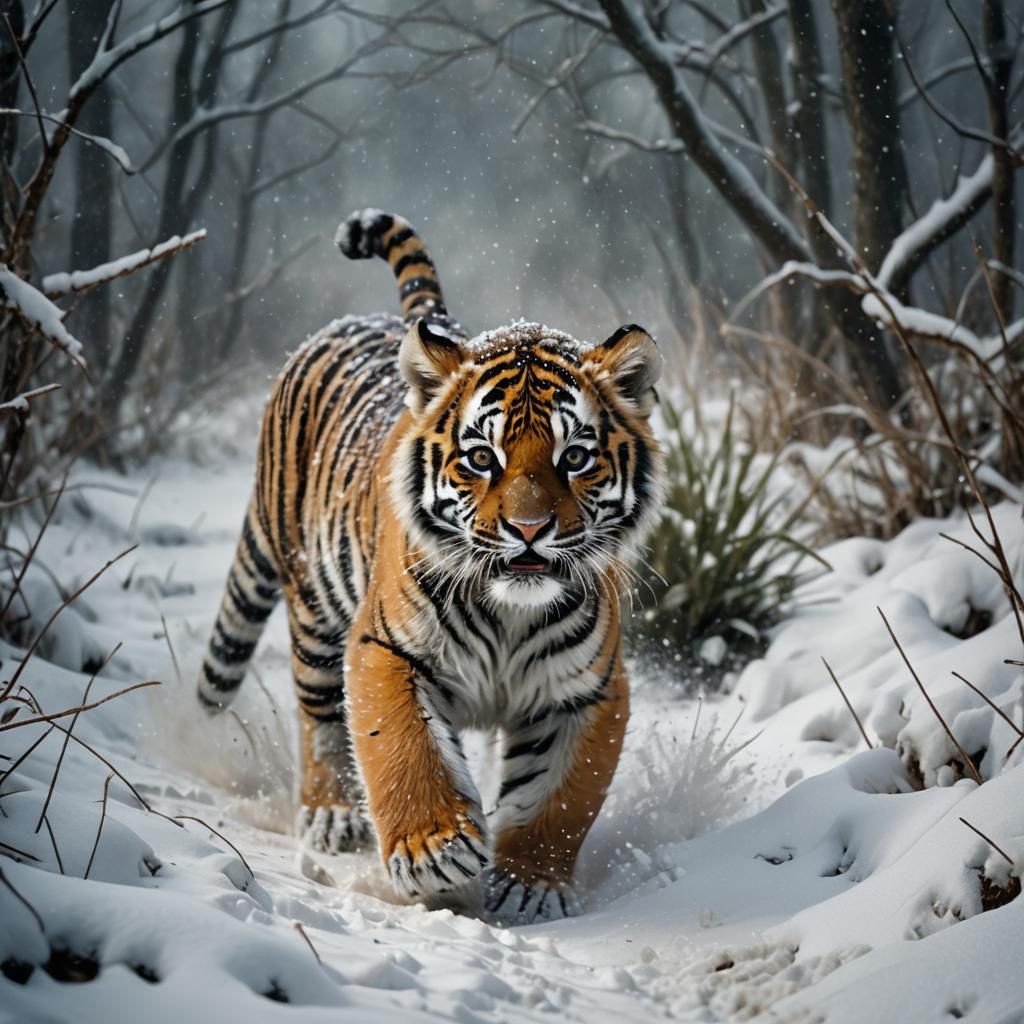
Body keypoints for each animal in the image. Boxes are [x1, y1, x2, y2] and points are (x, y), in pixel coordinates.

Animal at [197, 209, 664, 925]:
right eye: (481, 458)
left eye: (576, 458)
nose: (529, 530)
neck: (510, 617)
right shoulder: (386, 648)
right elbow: (403, 746)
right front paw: (433, 853)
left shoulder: (587, 689)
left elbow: (561, 798)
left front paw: (531, 884)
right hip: (314, 611)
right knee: (319, 719)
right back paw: (332, 816)